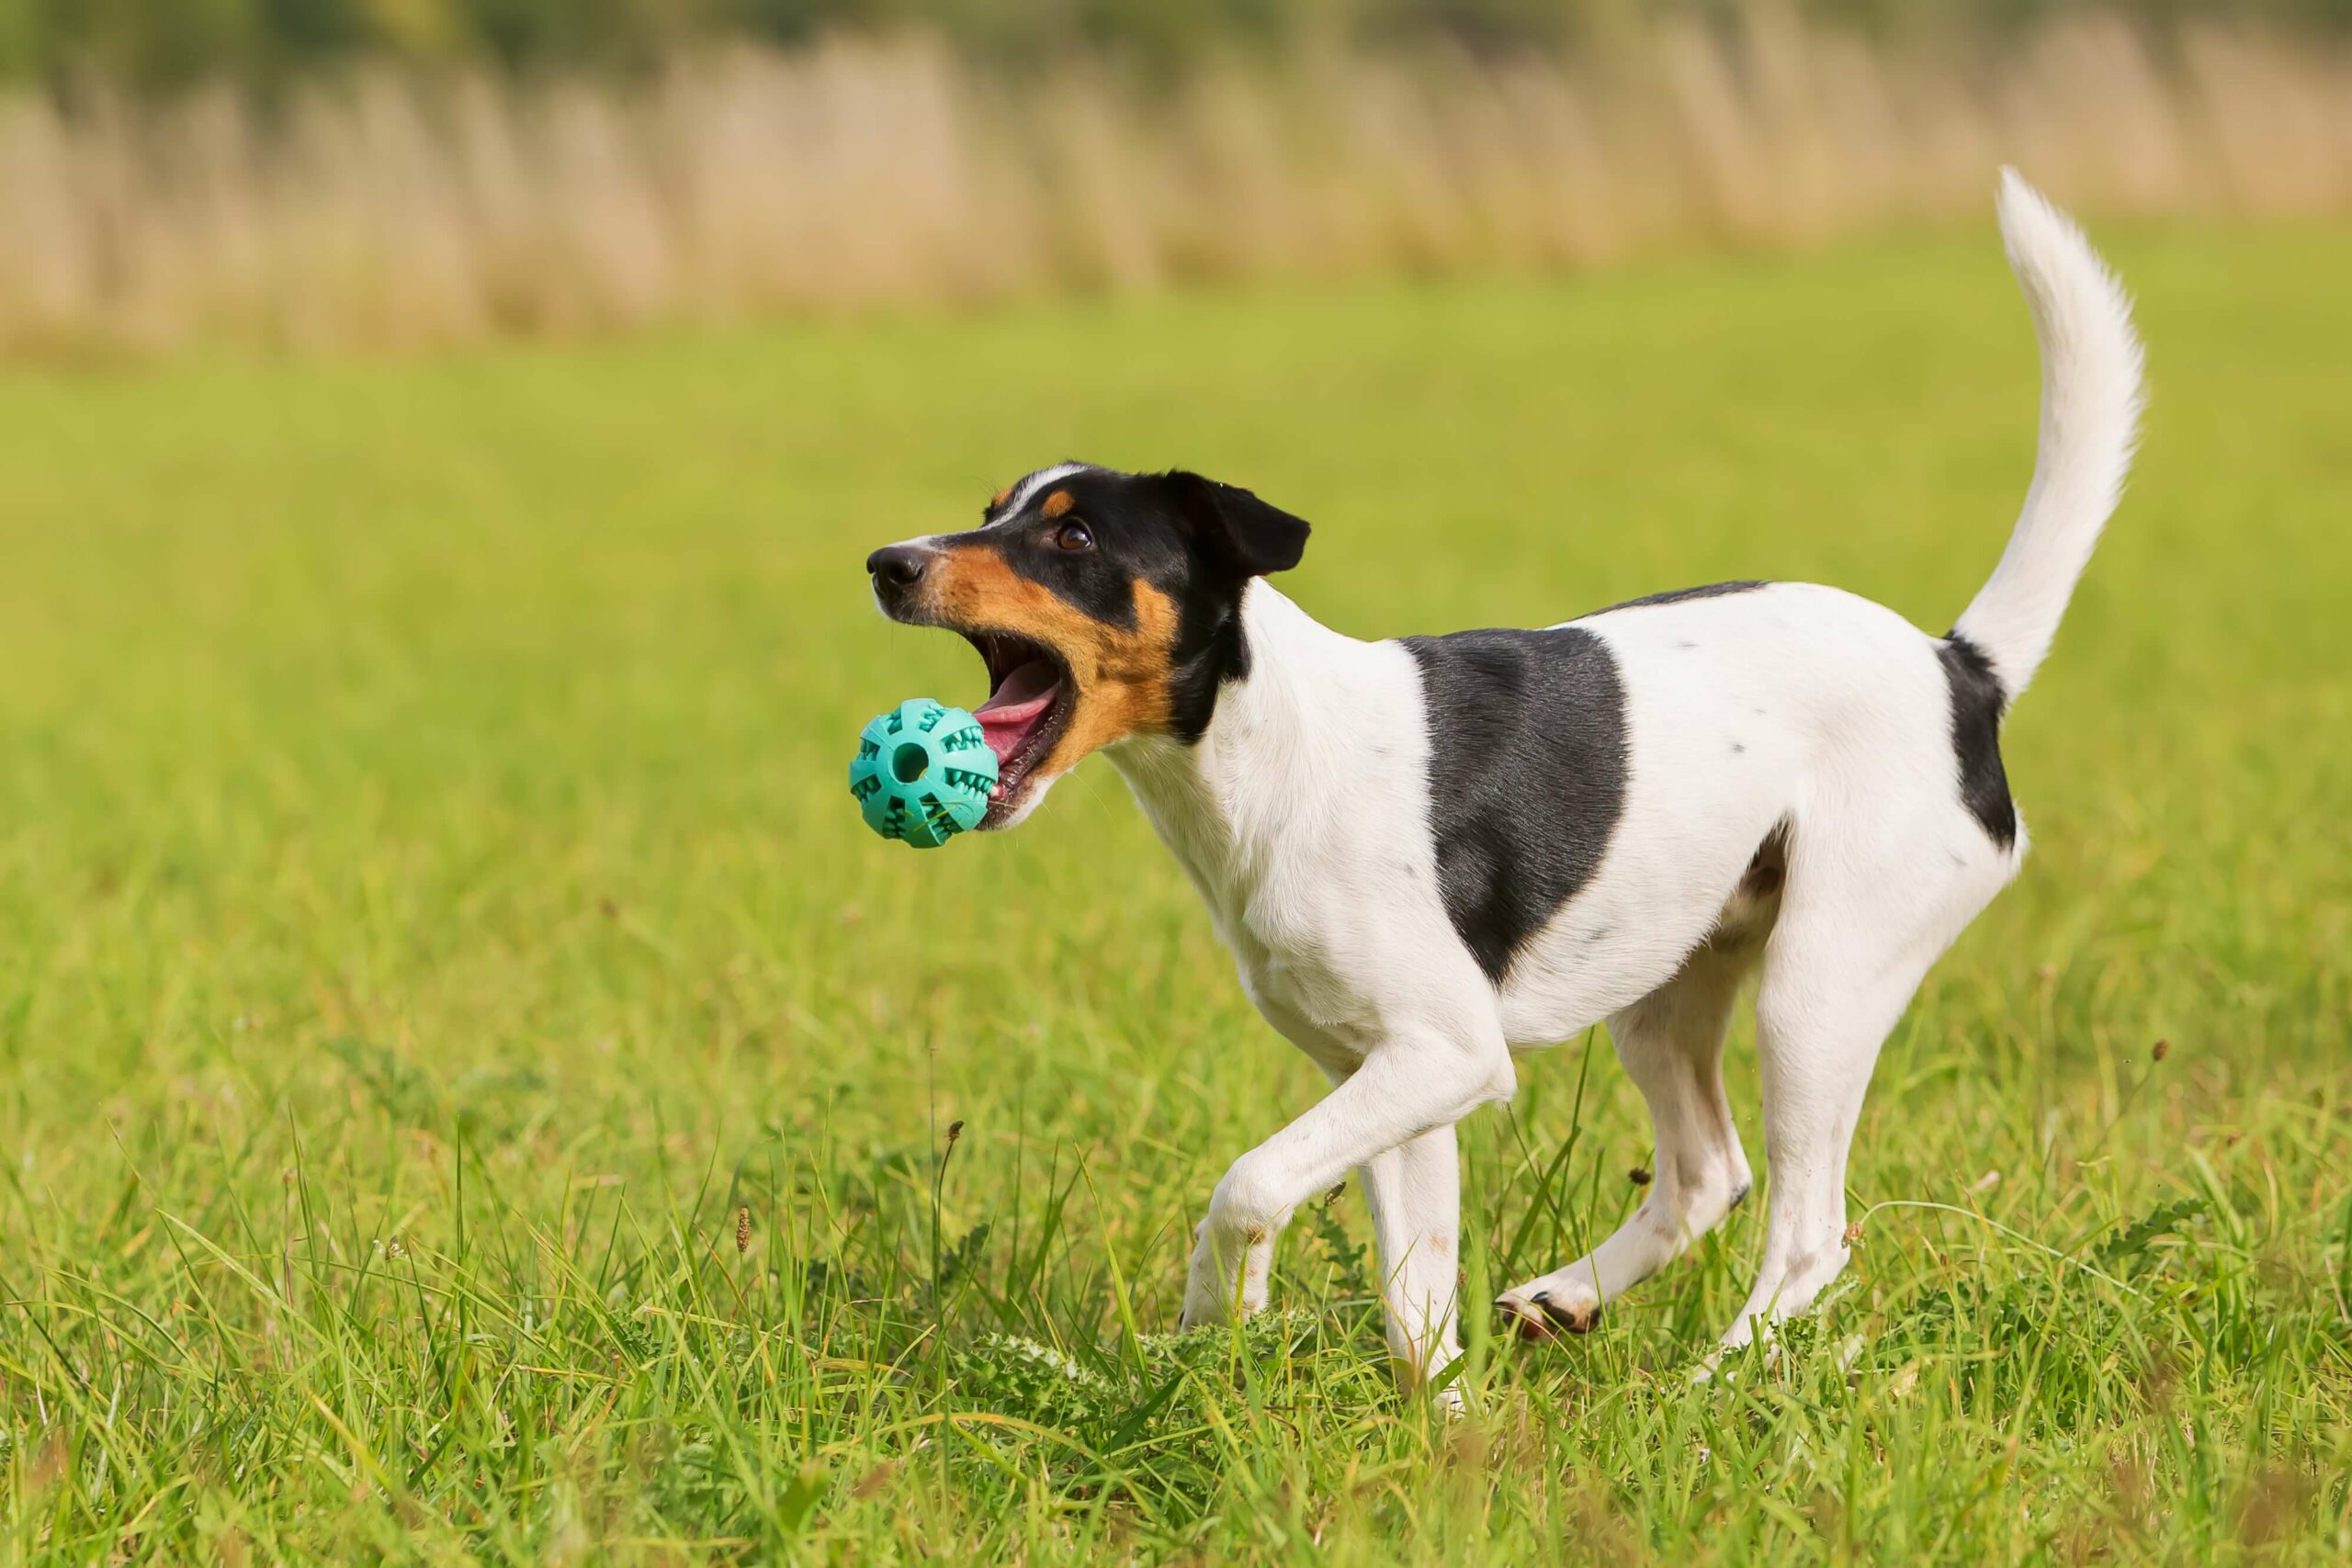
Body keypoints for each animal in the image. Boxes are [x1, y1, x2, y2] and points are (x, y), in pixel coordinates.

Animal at [875, 175, 2144, 1401]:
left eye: (1073, 538)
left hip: (1816, 990)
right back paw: (1567, 1300)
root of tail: (1958, 668)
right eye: (991, 513)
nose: (888, 562)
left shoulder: (1448, 1054)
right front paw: (1435, 1428)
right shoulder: (1390, 1076)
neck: (1271, 749)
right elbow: (1413, 1299)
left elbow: (1248, 1184)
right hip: (1667, 988)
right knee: (1707, 1174)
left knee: (1806, 1233)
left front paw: (1218, 1314)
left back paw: (1709, 1391)